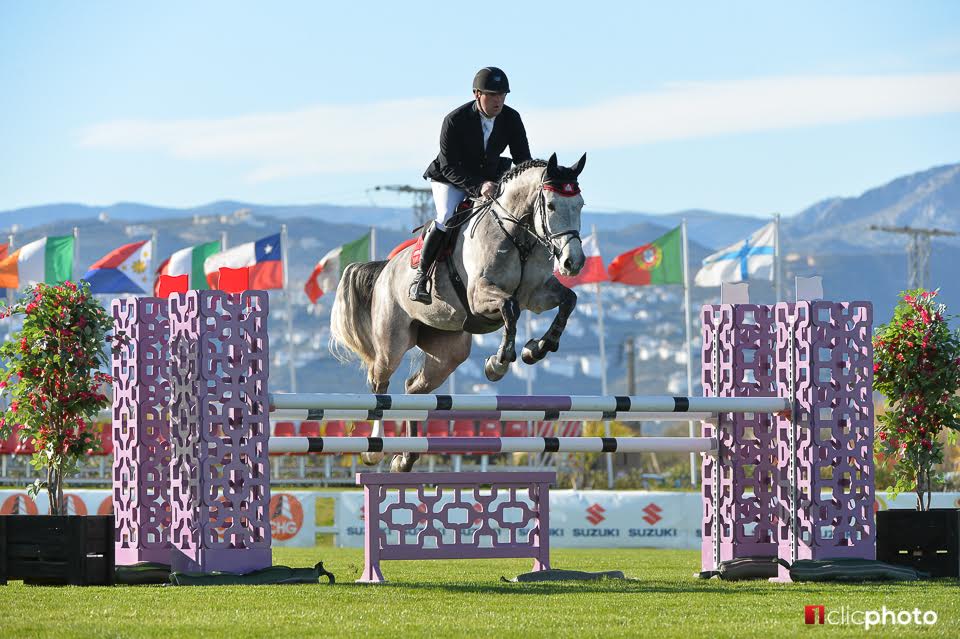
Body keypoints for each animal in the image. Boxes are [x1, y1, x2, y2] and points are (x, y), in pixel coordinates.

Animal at [330, 152, 584, 472]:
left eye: (580, 204)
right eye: (550, 205)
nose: (573, 262)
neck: (517, 235)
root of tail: (385, 268)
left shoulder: (536, 294)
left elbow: (568, 300)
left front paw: (536, 349)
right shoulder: (479, 296)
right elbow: (510, 308)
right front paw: (498, 363)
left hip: (448, 351)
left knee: (413, 389)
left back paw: (406, 458)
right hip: (392, 343)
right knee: (380, 383)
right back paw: (375, 449)